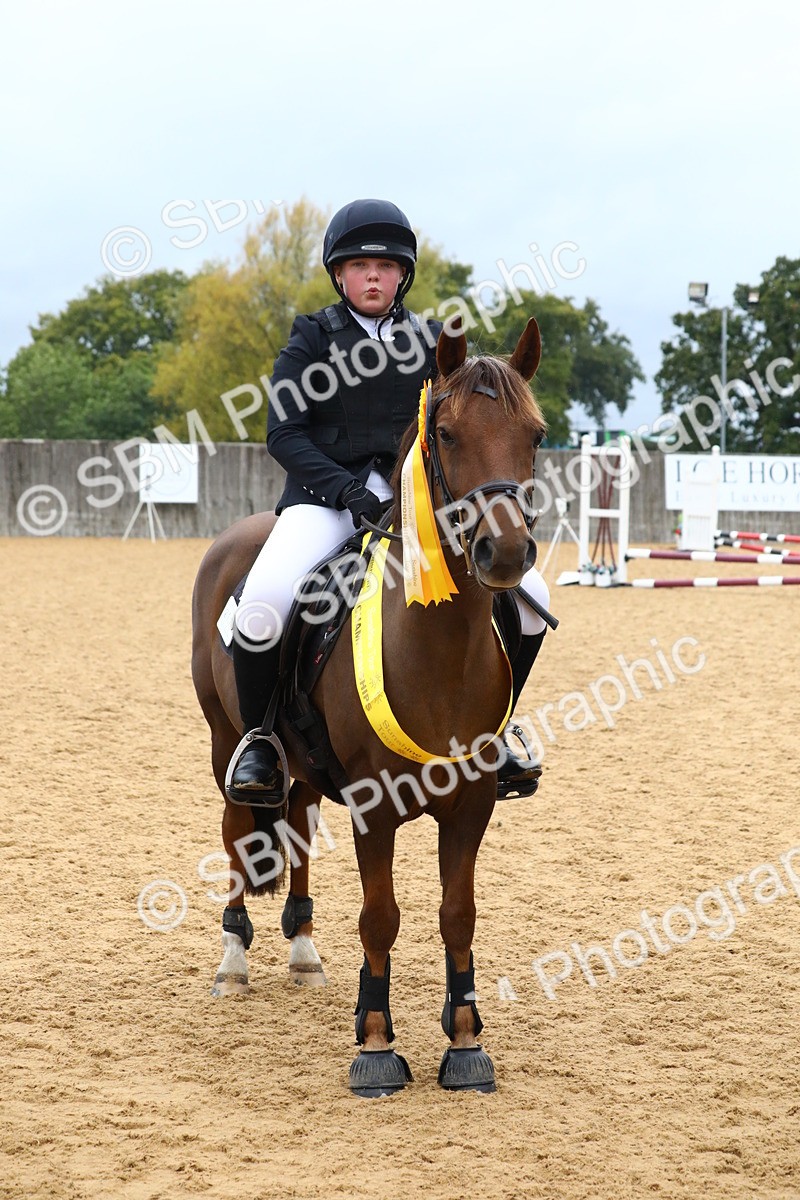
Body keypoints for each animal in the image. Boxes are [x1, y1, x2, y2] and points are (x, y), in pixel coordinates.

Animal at [191, 317, 547, 1096]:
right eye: (446, 433)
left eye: (535, 434)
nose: (504, 553)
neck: (438, 652)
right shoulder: (374, 806)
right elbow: (380, 917)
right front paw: (377, 1045)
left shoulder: (472, 802)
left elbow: (458, 914)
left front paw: (465, 1043)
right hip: (224, 739)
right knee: (238, 827)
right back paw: (233, 963)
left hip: (300, 762)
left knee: (294, 822)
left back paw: (302, 952)